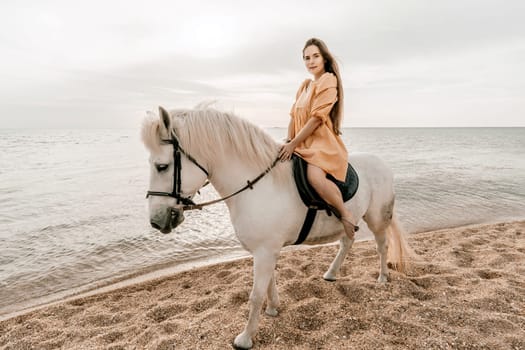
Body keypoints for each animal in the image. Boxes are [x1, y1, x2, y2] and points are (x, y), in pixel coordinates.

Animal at [141, 106, 412, 350]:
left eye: (162, 166)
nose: (156, 220)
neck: (256, 186)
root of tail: (382, 163)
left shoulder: (264, 251)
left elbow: (255, 294)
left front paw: (245, 339)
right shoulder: (266, 251)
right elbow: (269, 283)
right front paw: (272, 309)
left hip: (377, 218)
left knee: (382, 245)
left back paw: (382, 277)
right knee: (347, 241)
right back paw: (331, 273)